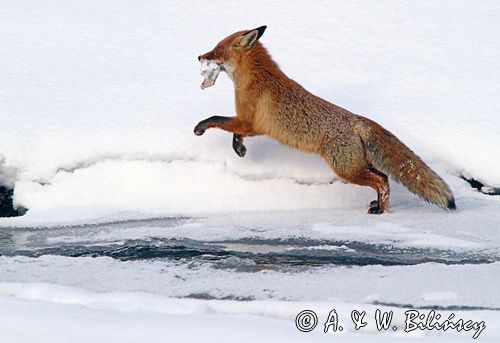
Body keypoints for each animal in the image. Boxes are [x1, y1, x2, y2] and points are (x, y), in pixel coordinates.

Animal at [195, 26, 458, 214]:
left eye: (216, 50)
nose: (199, 56)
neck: (253, 79)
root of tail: (358, 119)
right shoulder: (251, 124)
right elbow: (234, 132)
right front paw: (239, 149)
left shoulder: (250, 122)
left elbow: (216, 119)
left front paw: (200, 128)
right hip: (356, 164)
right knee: (384, 178)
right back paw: (378, 205)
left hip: (345, 169)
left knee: (382, 181)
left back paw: (382, 210)